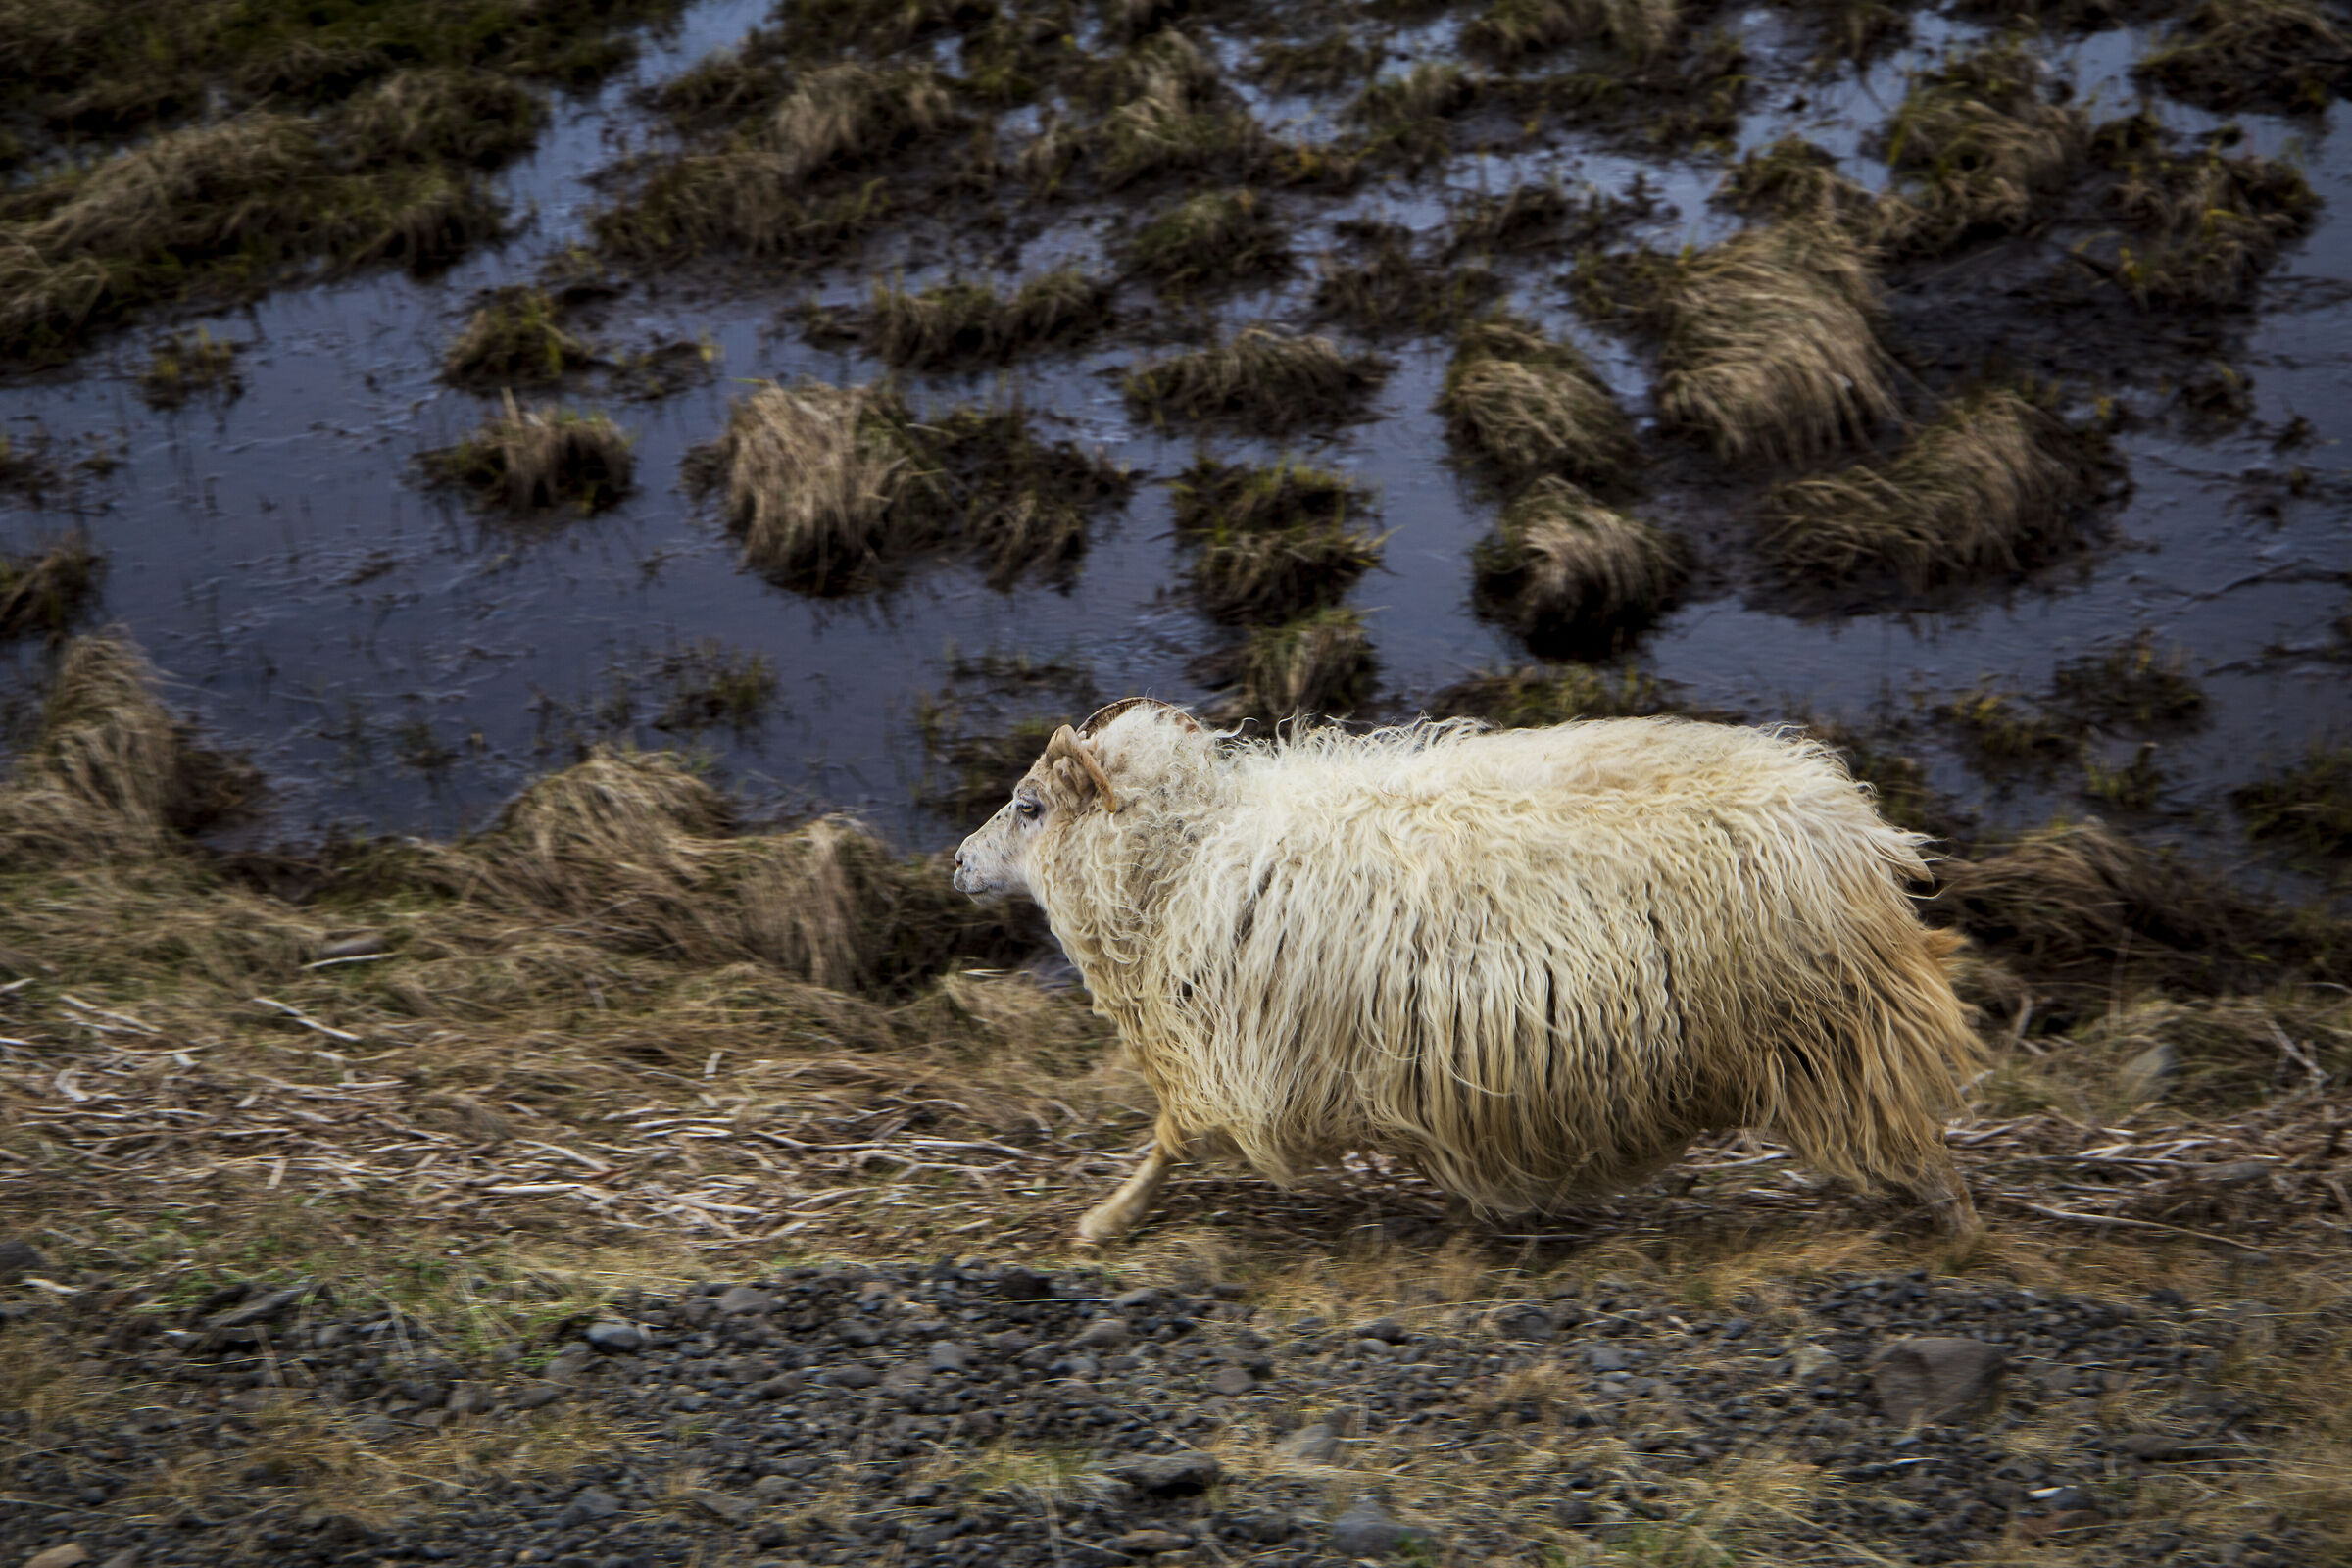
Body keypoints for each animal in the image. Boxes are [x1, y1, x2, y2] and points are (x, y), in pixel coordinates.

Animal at [953, 698, 1983, 1244]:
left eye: (1029, 806)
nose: (957, 862)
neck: (1184, 854)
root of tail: (1855, 826)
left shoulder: (1233, 1052)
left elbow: (1171, 1136)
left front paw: (1108, 1217)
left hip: (1833, 1025)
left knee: (1911, 1129)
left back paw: (1953, 1218)